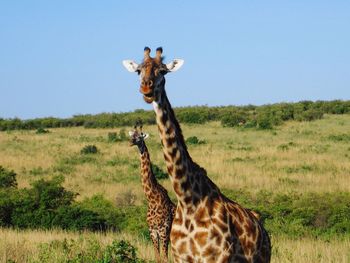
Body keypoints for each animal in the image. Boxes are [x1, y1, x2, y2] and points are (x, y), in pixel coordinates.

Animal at [129, 126, 176, 263]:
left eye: (140, 136)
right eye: (131, 135)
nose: (131, 142)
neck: (152, 199)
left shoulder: (163, 231)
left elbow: (165, 258)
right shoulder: (152, 232)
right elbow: (158, 257)